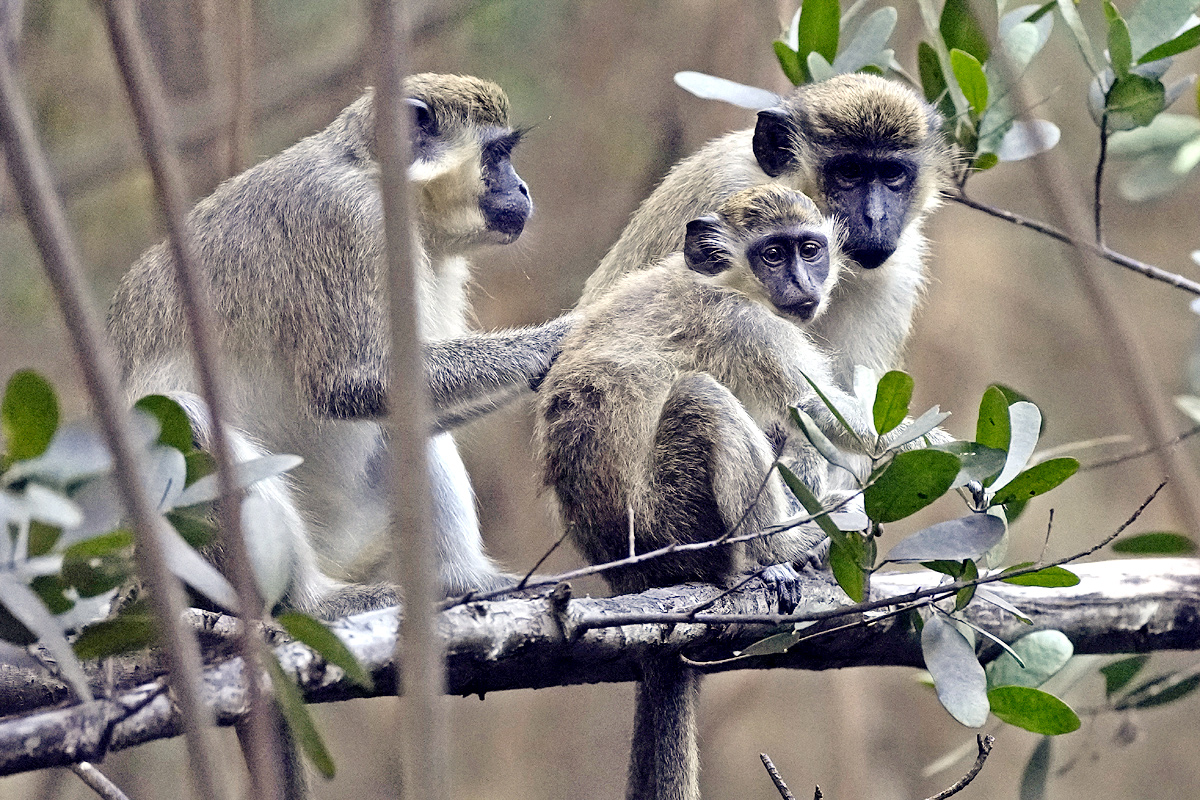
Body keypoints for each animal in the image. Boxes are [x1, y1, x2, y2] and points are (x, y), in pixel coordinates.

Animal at [537, 185, 873, 800]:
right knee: (707, 397)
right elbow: (831, 417)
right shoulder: (748, 329)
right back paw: (780, 555)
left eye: (810, 249)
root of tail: (632, 576)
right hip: (677, 522)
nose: (803, 284)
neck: (728, 283)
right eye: (772, 254)